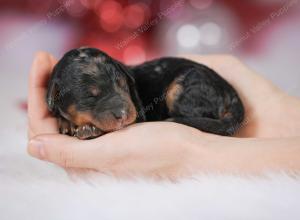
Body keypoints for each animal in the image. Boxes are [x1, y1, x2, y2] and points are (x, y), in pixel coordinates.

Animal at [46, 47, 244, 139]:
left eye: (123, 85)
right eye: (90, 96)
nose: (123, 114)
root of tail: (230, 91)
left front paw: (88, 129)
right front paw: (66, 123)